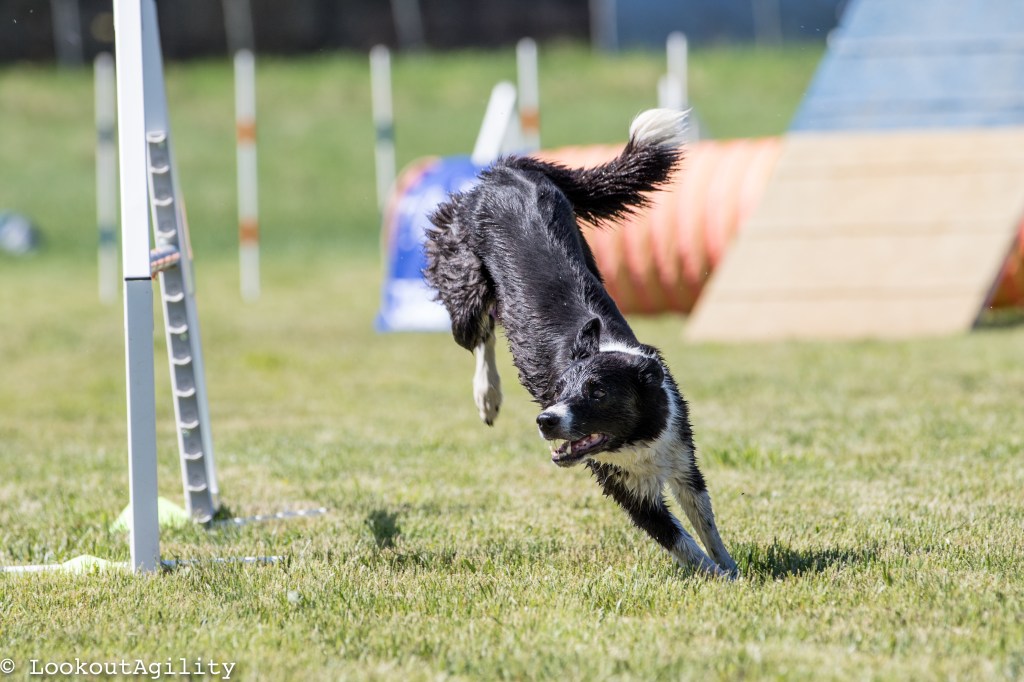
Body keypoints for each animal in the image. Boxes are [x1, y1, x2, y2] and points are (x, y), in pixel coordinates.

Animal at [423, 109, 737, 579]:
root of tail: (508, 169)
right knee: (480, 331)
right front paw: (721, 579)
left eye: (598, 392)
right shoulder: (625, 488)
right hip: (463, 274)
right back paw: (488, 395)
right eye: (558, 391)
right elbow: (681, 542)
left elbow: (706, 524)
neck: (635, 438)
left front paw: (732, 567)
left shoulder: (681, 457)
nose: (545, 420)